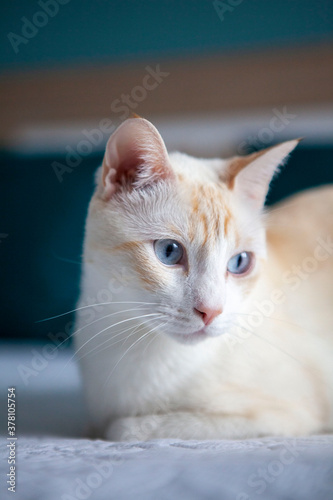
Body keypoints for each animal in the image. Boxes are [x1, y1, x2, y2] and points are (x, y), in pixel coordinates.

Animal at [75, 118, 332, 442]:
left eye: (239, 262)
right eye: (169, 252)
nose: (211, 311)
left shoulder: (285, 416)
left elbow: (126, 429)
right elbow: (95, 425)